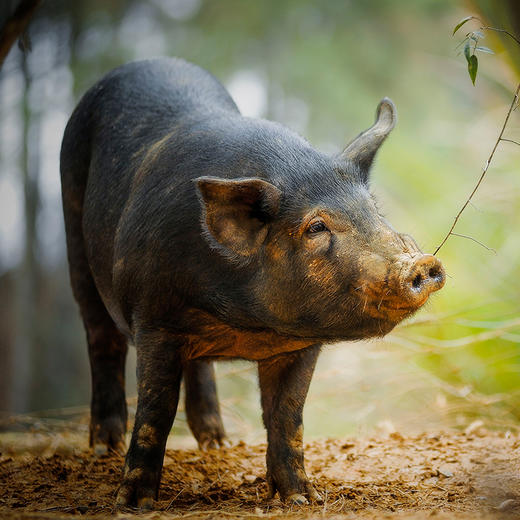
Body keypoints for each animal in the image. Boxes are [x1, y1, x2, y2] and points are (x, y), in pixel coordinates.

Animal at [60, 57, 442, 508]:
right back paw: (104, 447)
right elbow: (156, 410)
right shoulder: (153, 317)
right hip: (74, 229)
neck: (246, 324)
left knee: (198, 365)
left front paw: (302, 499)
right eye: (316, 227)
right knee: (101, 340)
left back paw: (218, 444)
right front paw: (134, 504)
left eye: (374, 211)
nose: (422, 262)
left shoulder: (300, 344)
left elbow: (287, 416)